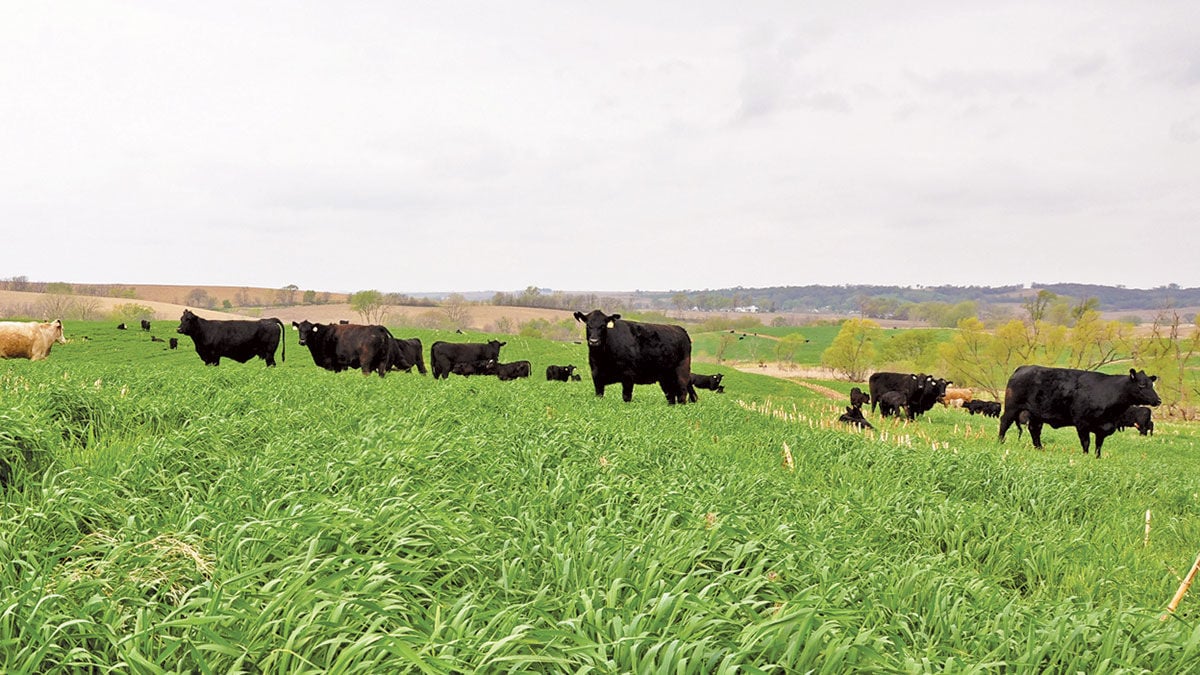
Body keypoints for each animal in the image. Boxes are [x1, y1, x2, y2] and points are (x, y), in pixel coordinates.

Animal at [998, 366, 1161, 458]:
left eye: (1152, 384)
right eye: (1141, 385)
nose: (1158, 400)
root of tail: (1023, 368)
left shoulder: (1103, 427)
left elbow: (1099, 444)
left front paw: (1097, 458)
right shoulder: (1082, 423)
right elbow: (1086, 442)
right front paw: (1085, 456)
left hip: (1036, 414)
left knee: (1034, 430)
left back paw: (1039, 448)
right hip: (1012, 407)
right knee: (1004, 422)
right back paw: (1000, 441)